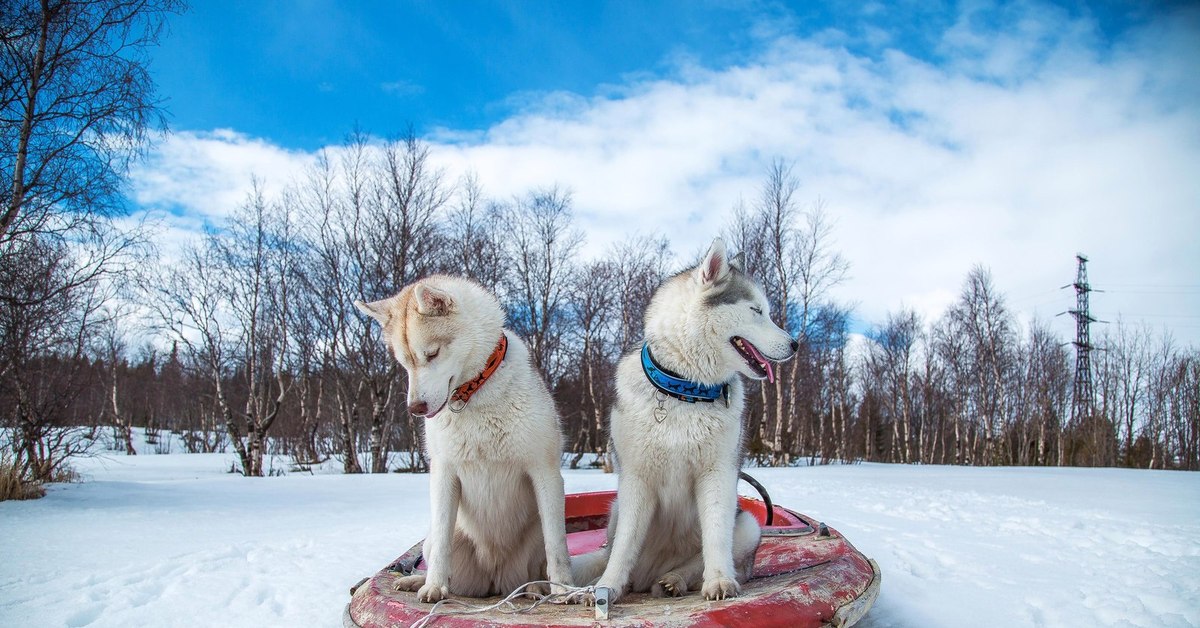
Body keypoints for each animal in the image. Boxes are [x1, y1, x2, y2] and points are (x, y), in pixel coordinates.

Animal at [352, 276, 573, 605]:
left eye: (432, 354)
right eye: (404, 362)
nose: (414, 408)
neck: (473, 394)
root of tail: (497, 580)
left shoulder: (544, 472)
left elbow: (556, 547)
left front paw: (564, 590)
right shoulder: (444, 475)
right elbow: (442, 546)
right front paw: (433, 586)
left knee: (537, 565)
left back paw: (537, 589)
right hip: (434, 540)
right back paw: (416, 581)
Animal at [578, 238, 801, 602]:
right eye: (756, 310)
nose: (795, 344)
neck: (685, 390)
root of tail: (650, 573)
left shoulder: (718, 474)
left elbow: (716, 536)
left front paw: (719, 581)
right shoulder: (636, 480)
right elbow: (624, 547)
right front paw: (606, 588)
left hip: (749, 526)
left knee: (700, 559)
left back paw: (676, 578)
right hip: (615, 511)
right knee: (614, 551)